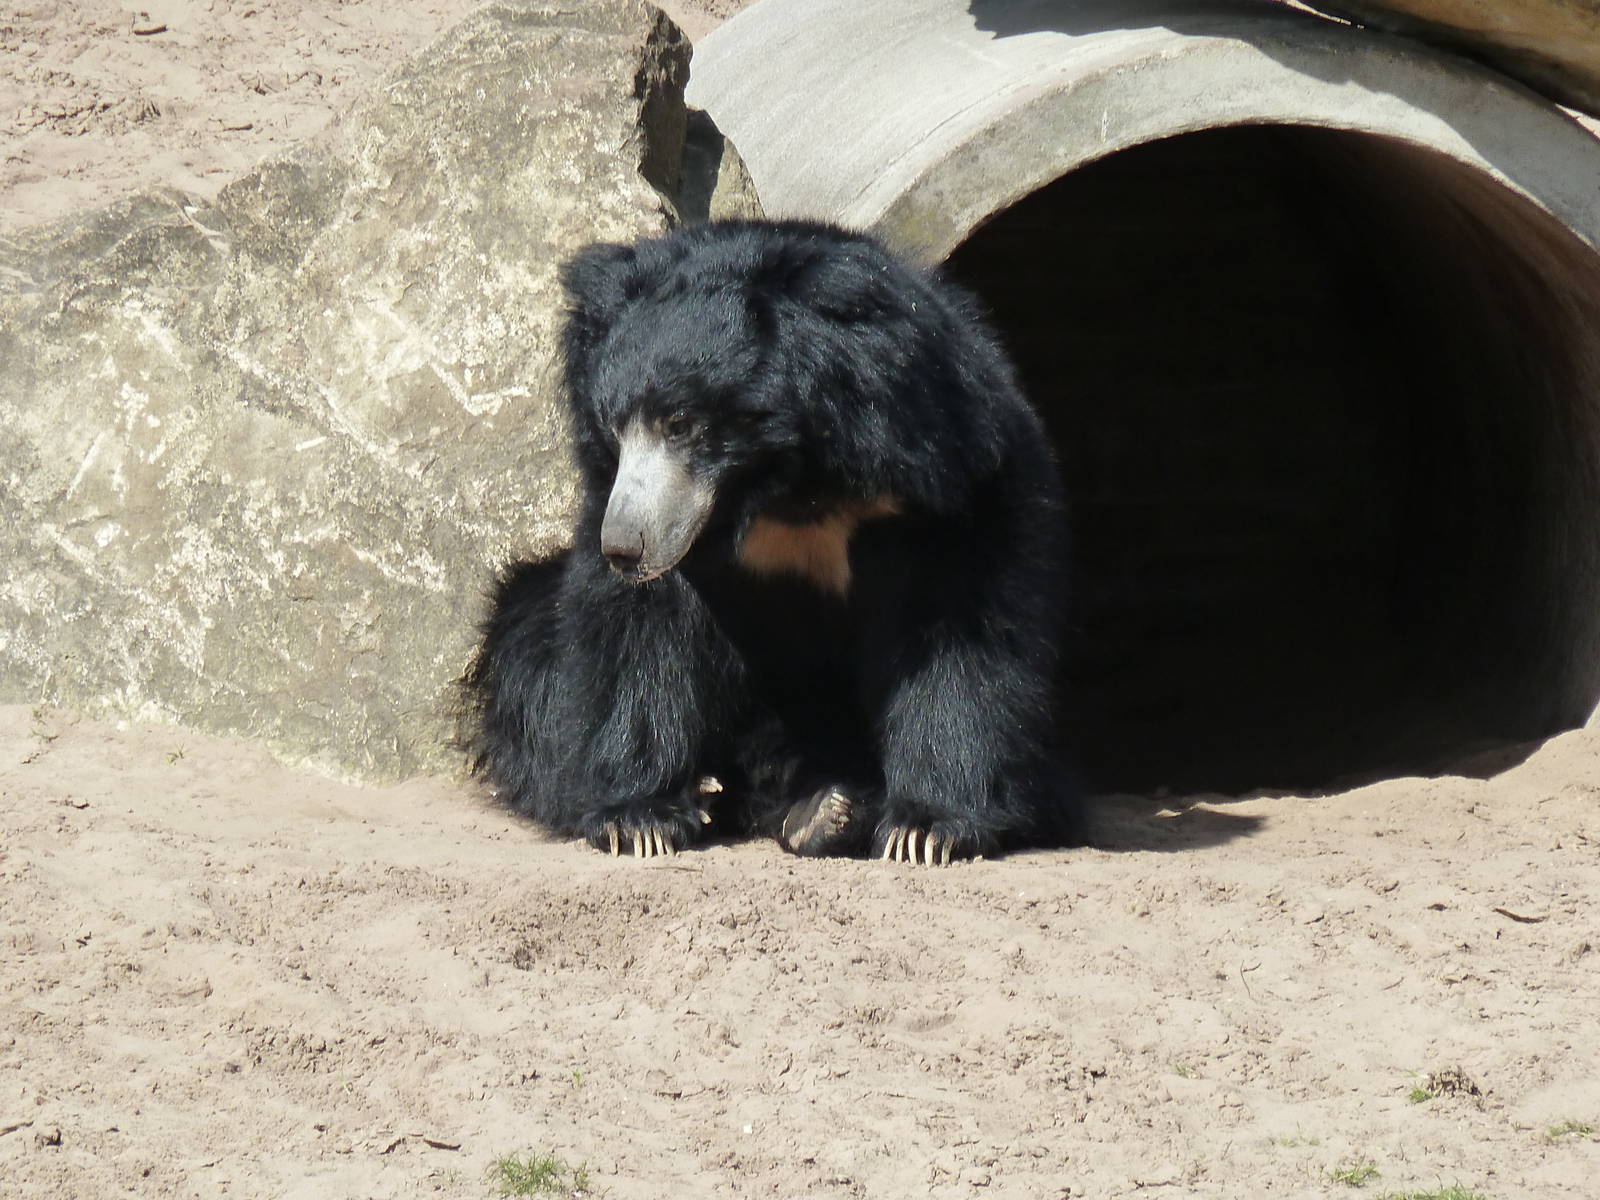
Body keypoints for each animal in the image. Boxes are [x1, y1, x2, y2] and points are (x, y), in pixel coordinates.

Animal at [465, 219, 1078, 864]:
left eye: (681, 422)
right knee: (527, 643)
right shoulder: (662, 517)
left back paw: (826, 810)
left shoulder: (951, 472)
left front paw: (927, 828)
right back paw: (740, 795)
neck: (780, 478)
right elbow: (641, 623)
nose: (625, 550)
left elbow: (960, 630)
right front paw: (640, 818)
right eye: (613, 426)